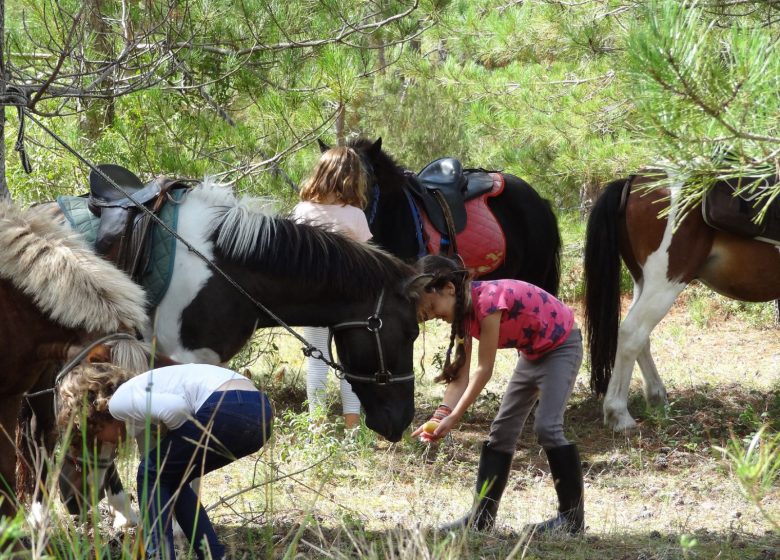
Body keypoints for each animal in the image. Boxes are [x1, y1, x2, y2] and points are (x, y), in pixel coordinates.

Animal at [584, 173, 780, 430]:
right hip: (666, 282)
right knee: (632, 333)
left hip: (644, 282)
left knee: (640, 337)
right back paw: (618, 414)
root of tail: (634, 181)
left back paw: (657, 400)